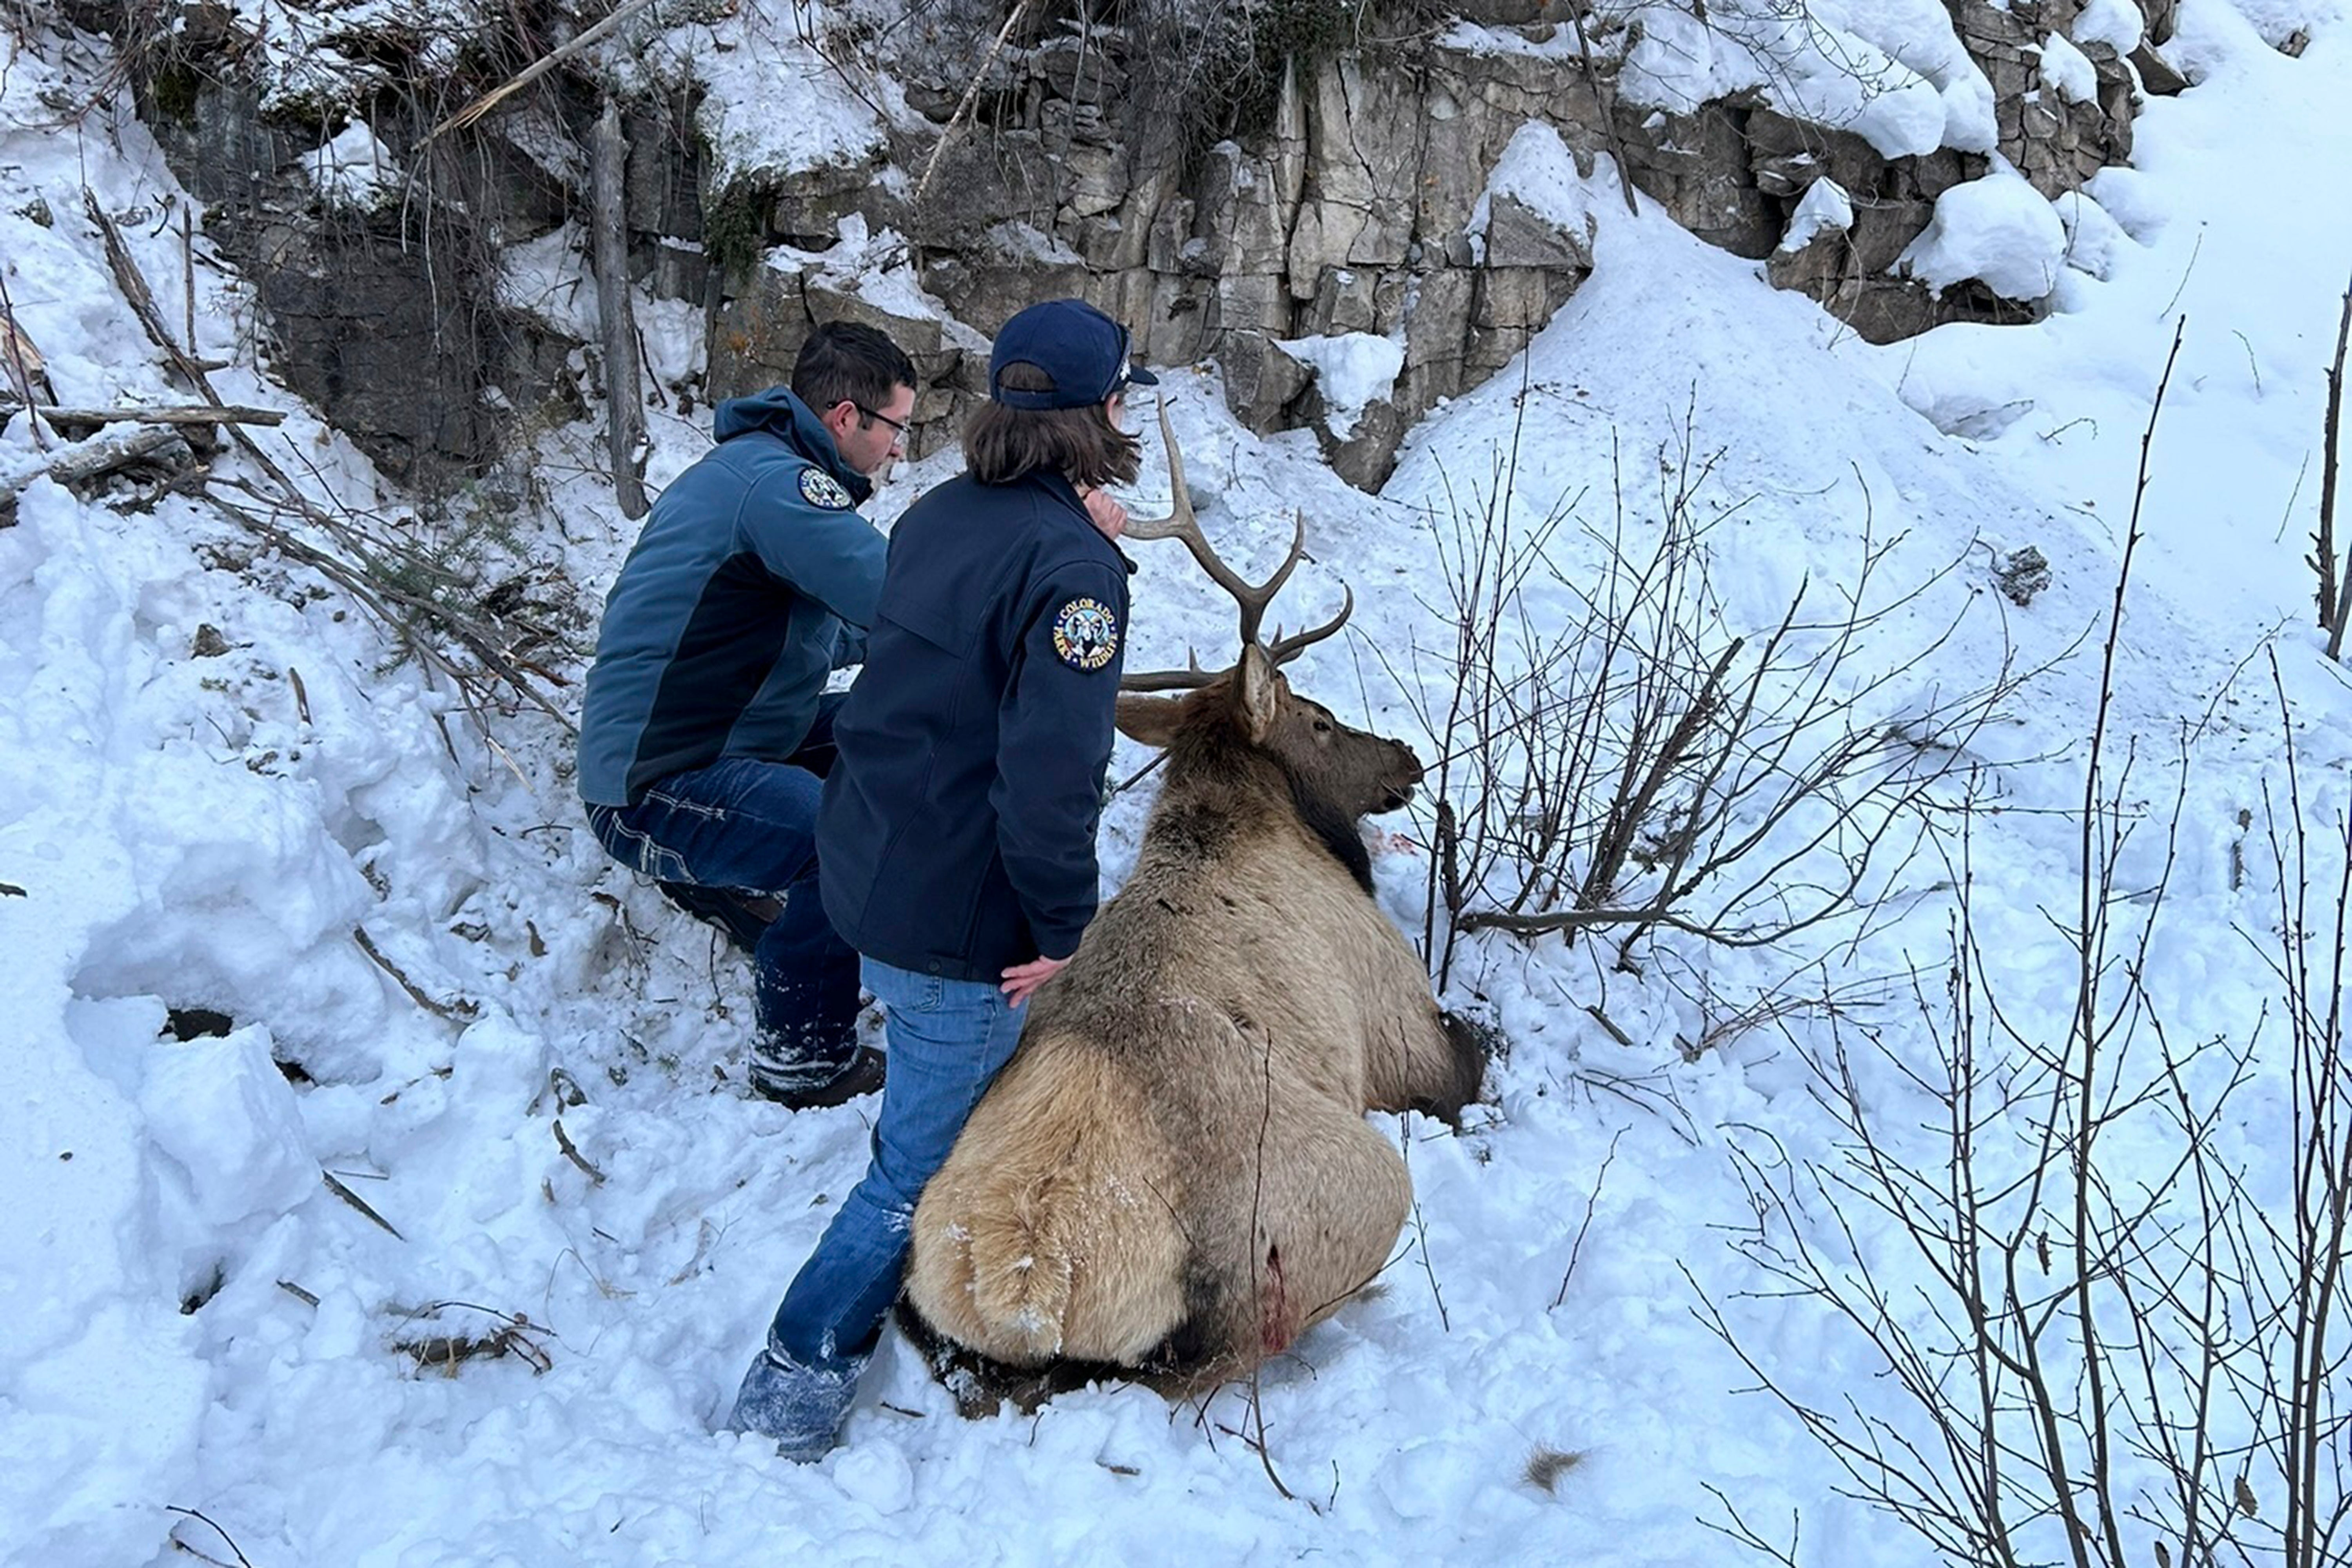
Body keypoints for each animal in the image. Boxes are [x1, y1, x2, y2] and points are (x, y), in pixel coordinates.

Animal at [898, 411, 1486, 1401]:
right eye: (1319, 718)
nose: (1406, 756)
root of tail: (1025, 1288)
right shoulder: (1400, 1018)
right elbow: (1473, 1056)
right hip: (1355, 1192)